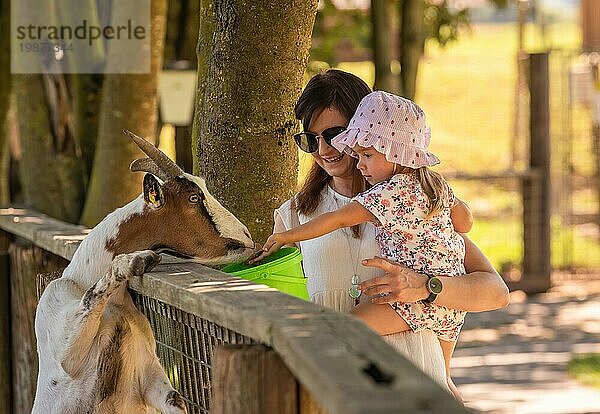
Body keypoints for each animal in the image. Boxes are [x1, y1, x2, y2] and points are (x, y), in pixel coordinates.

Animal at [32, 132, 255, 414]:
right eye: (193, 197)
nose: (247, 237)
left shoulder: (149, 376)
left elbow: (175, 400)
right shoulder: (65, 352)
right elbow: (92, 296)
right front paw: (138, 260)